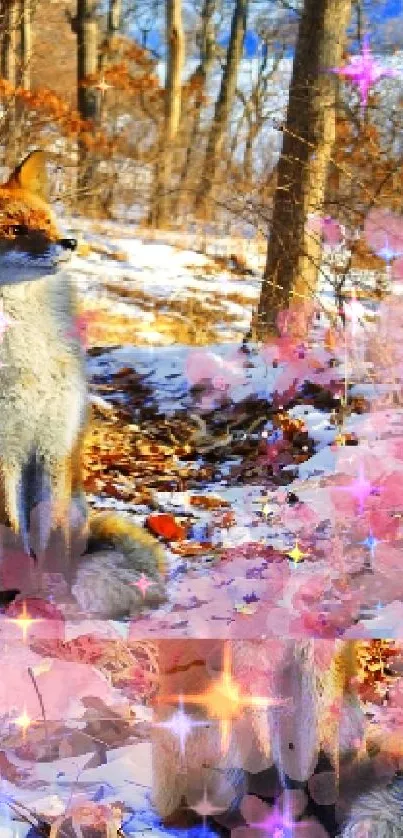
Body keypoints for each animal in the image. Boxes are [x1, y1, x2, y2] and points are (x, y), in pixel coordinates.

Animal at [0, 148, 167, 612]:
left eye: (49, 223)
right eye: (13, 230)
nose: (69, 243)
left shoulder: (52, 447)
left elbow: (51, 542)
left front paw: (51, 600)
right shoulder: (5, 452)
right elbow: (12, 535)